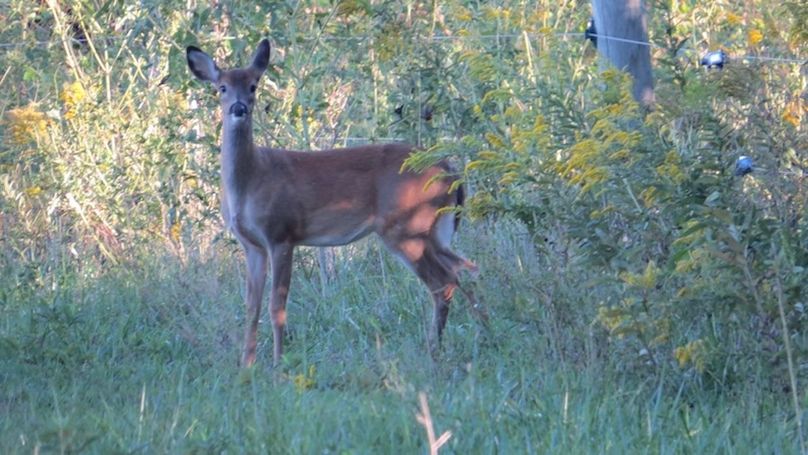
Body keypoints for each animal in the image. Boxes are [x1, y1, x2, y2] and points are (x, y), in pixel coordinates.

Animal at [186, 37, 482, 368]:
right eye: (221, 87)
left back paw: (435, 350)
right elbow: (252, 307)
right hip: (434, 230)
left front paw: (277, 364)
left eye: (253, 85)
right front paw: (246, 366)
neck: (250, 181)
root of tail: (449, 168)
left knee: (443, 282)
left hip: (407, 226)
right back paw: (481, 333)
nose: (238, 108)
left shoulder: (281, 233)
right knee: (465, 270)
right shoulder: (252, 245)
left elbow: (277, 305)